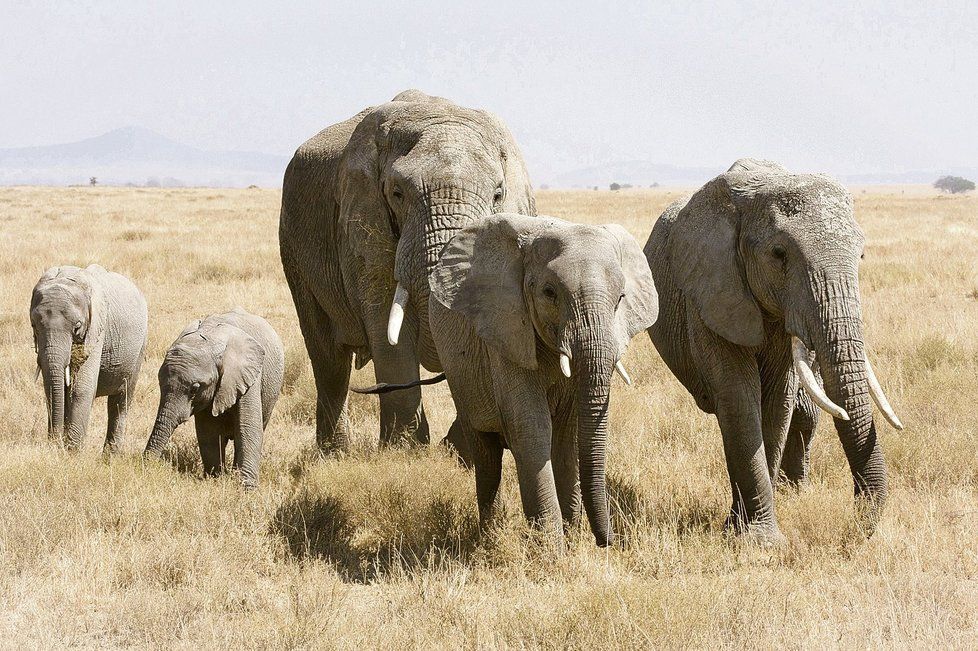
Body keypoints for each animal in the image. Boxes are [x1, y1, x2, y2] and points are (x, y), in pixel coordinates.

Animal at [30, 264, 148, 454]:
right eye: (34, 325)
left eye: (77, 327)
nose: (55, 443)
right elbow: (53, 388)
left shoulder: (97, 328)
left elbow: (82, 388)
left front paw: (72, 452)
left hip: (140, 347)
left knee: (120, 401)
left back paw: (110, 456)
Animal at [144, 310, 286, 488]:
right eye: (159, 382)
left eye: (195, 388)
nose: (146, 465)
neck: (210, 336)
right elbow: (208, 431)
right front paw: (215, 479)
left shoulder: (248, 376)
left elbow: (249, 427)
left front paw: (247, 489)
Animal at [278, 89, 536, 450]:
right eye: (397, 193)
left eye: (498, 194)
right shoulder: (363, 221)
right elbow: (387, 324)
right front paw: (405, 451)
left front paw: (456, 450)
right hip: (292, 242)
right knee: (328, 358)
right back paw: (335, 453)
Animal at [426, 213, 656, 544]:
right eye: (550, 293)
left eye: (621, 298)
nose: (611, 541)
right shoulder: (506, 331)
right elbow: (532, 428)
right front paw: (551, 547)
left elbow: (567, 435)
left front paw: (571, 540)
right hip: (459, 371)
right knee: (486, 454)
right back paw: (490, 538)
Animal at [644, 159, 904, 544]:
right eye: (779, 254)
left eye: (861, 254)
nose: (858, 526)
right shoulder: (711, 294)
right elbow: (741, 398)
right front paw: (758, 541)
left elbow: (777, 400)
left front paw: (745, 531)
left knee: (804, 411)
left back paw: (790, 490)